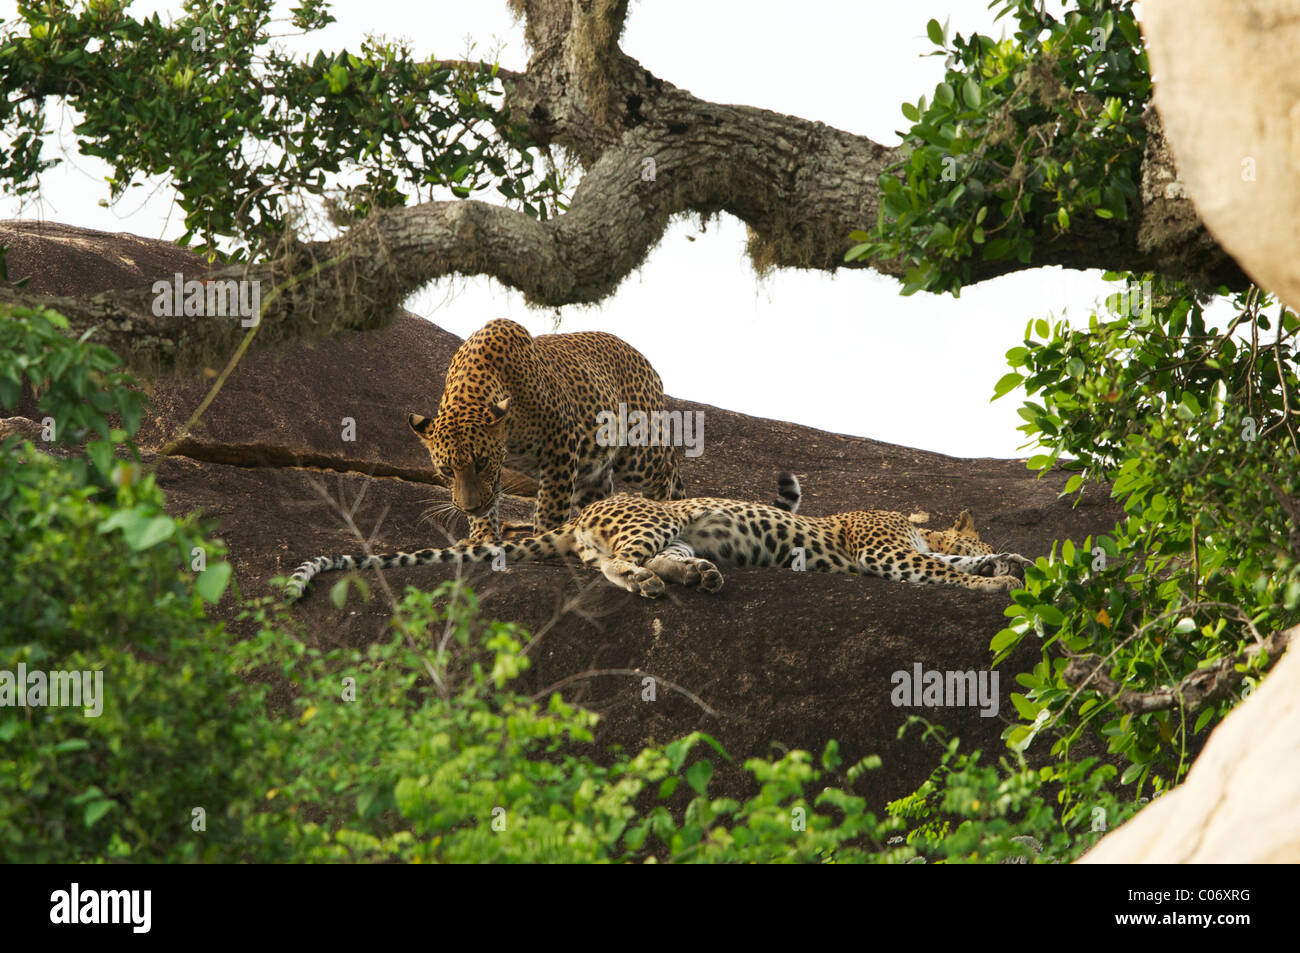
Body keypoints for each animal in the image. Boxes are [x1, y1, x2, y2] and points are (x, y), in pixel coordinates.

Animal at [410, 317, 686, 543]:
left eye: (481, 463)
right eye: (447, 470)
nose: (470, 508)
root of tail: (647, 364)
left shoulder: (562, 444)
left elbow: (550, 505)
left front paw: (543, 537)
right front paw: (481, 537)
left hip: (638, 451)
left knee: (665, 475)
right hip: (592, 473)